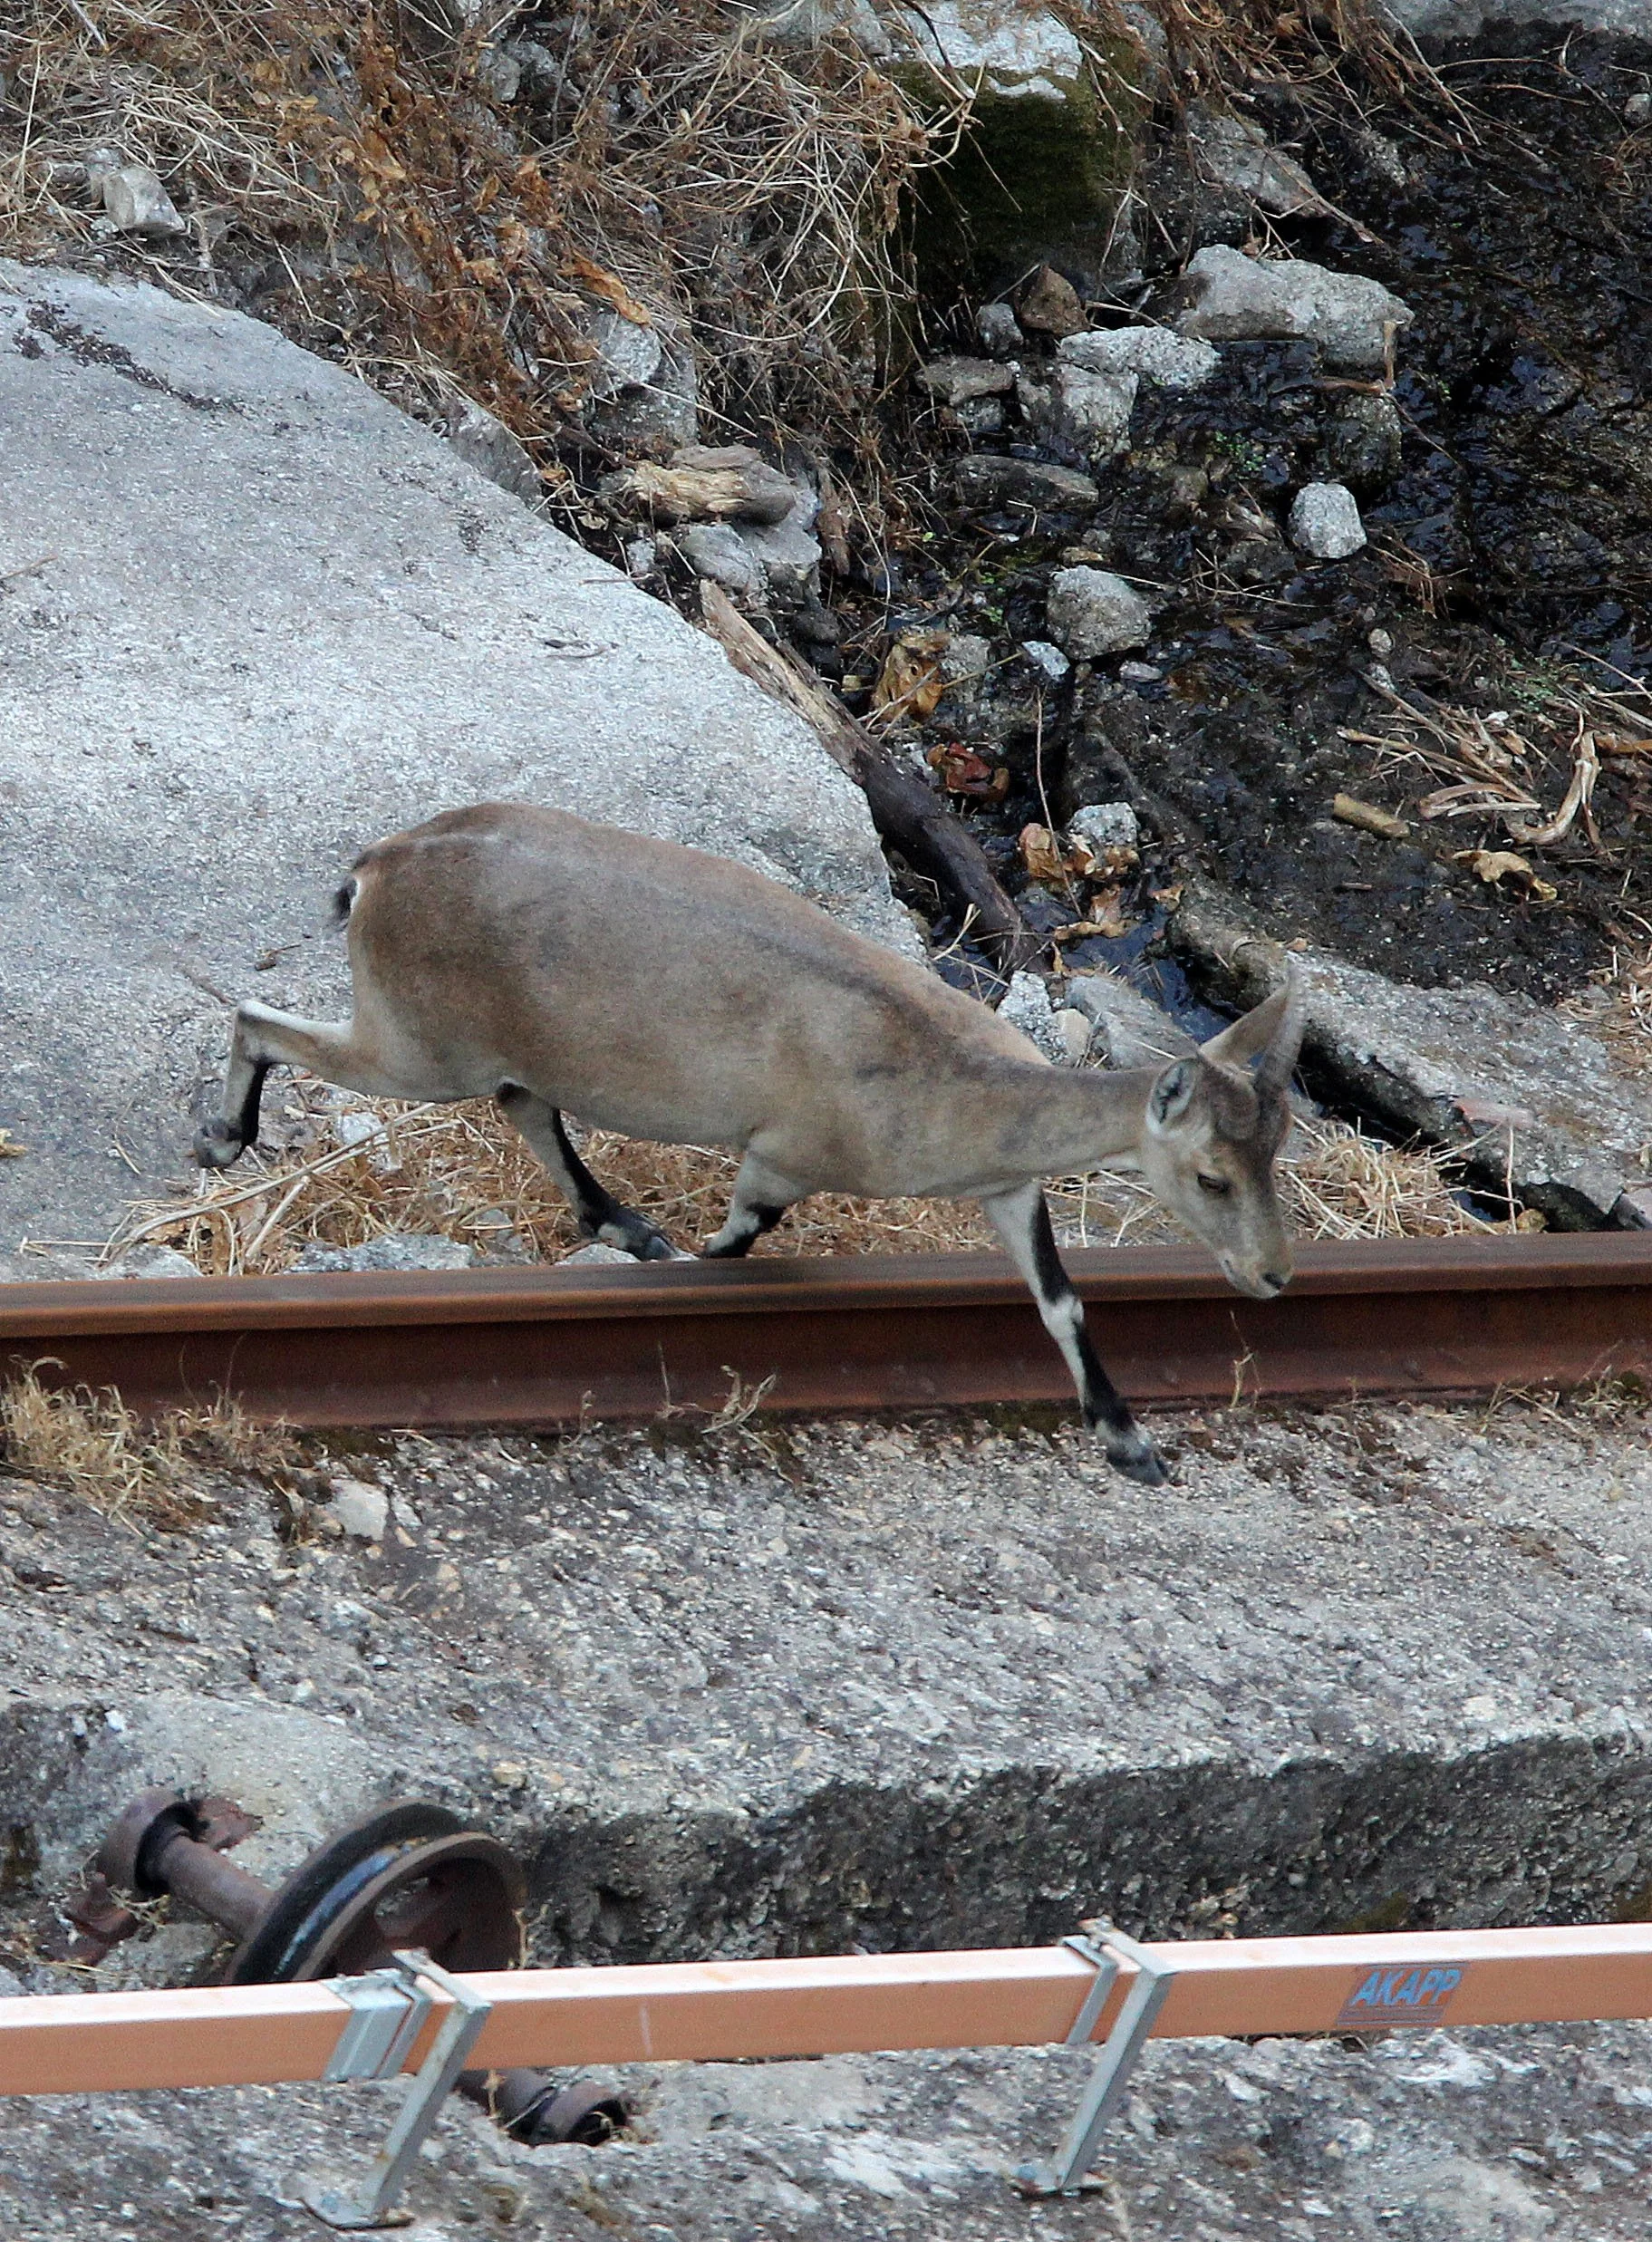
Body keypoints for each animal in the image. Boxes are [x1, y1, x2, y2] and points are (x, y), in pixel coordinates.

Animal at [197, 804, 1303, 1484]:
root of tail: (375, 869)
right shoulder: (782, 1155)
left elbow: (1061, 1299)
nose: (1273, 1276)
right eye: (1210, 1174)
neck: (946, 1084)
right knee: (263, 1019)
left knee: (524, 1102)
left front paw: (1130, 1442)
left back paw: (621, 1221)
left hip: (484, 1043)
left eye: (1275, 1149)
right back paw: (223, 1136)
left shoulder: (1005, 1187)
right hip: (417, 1040)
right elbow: (732, 1248)